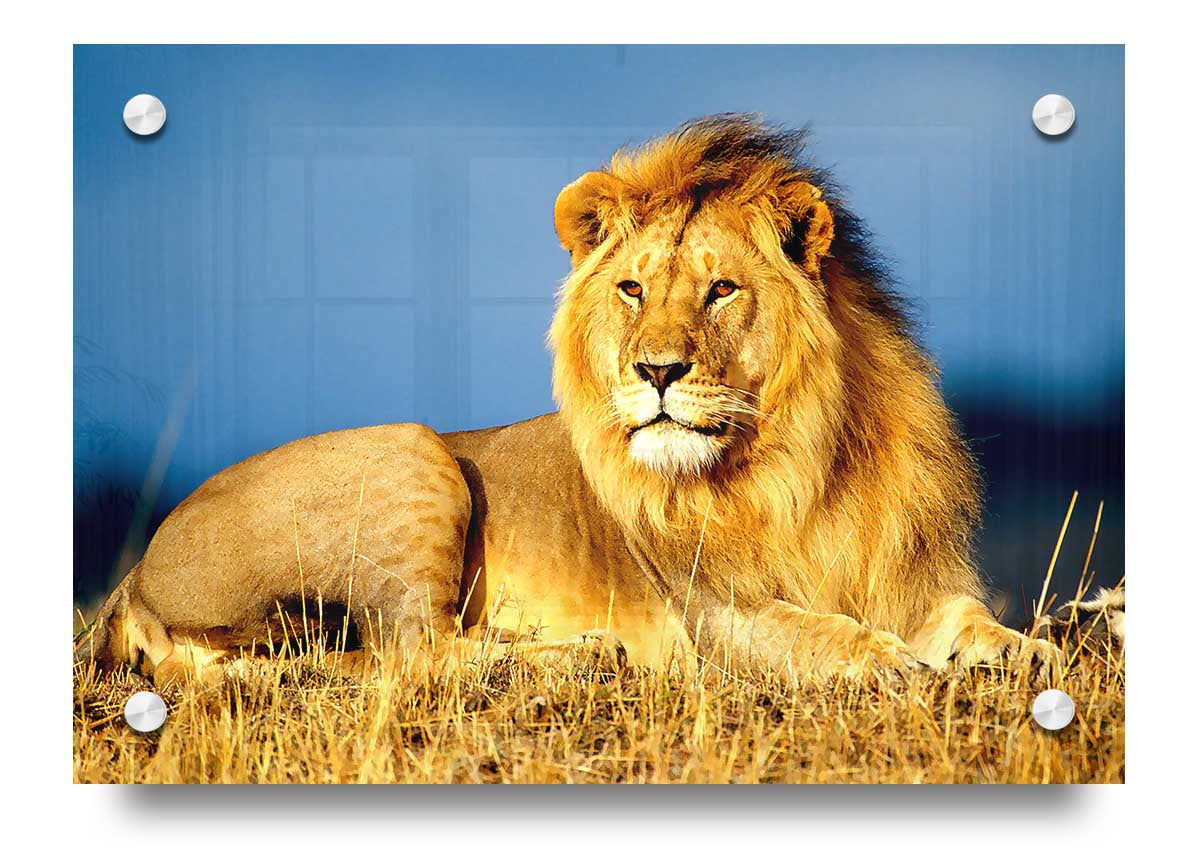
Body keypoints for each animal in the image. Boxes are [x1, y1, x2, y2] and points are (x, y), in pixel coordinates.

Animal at [79, 115, 1059, 686]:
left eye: (721, 290)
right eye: (632, 288)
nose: (656, 371)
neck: (800, 463)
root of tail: (135, 571)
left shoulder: (909, 575)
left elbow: (972, 618)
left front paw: (1027, 653)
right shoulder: (718, 616)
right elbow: (823, 635)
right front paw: (894, 664)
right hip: (412, 450)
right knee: (413, 654)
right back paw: (581, 654)